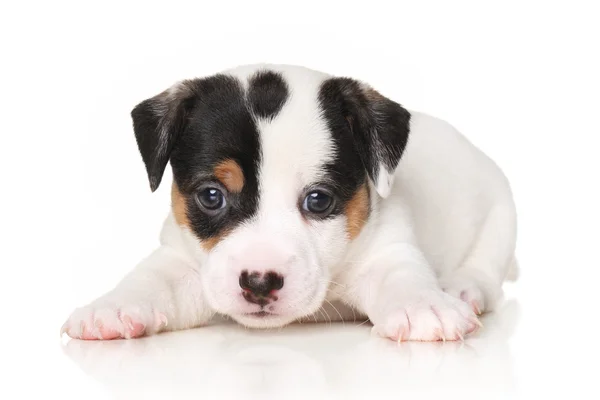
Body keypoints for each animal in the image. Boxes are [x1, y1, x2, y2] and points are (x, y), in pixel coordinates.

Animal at [63, 64, 516, 342]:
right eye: (211, 196)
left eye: (318, 200)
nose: (259, 282)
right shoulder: (185, 260)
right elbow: (153, 278)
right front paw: (113, 306)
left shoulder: (387, 247)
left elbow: (401, 274)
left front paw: (423, 304)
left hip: (500, 213)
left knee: (488, 270)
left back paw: (464, 288)